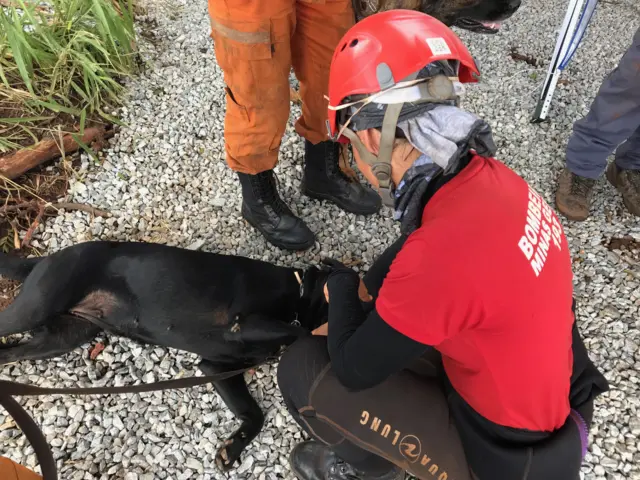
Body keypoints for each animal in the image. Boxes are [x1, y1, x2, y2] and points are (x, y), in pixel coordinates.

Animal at [0, 242, 328, 470]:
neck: (299, 293)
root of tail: (45, 259)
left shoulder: (217, 367)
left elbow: (254, 413)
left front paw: (233, 448)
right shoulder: (243, 323)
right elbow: (302, 332)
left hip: (62, 338)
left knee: (10, 352)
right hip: (36, 308)